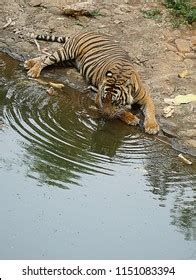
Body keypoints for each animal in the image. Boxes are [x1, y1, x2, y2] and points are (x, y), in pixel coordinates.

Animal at [24, 31, 159, 135]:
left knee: (44, 57)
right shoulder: (98, 97)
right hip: (66, 53)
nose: (104, 116)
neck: (119, 75)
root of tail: (87, 31)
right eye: (104, 100)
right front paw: (131, 118)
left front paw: (152, 126)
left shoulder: (146, 97)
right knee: (47, 59)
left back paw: (29, 63)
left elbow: (150, 111)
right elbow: (120, 112)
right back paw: (33, 70)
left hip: (68, 61)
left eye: (115, 102)